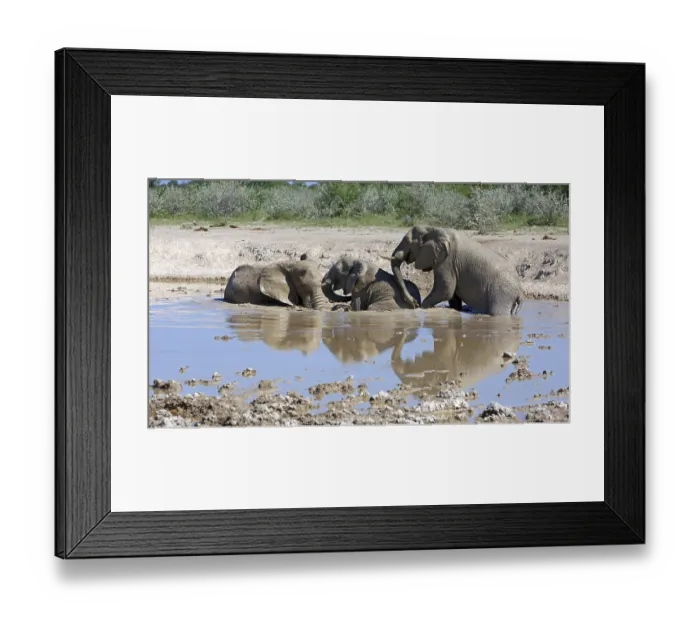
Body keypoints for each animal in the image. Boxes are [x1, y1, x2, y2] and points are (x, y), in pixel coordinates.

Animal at [391, 226, 523, 316]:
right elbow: (452, 295)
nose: (413, 303)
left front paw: (422, 307)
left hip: (502, 293)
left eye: (408, 242)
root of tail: (519, 291)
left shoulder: (447, 261)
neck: (434, 229)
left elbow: (445, 289)